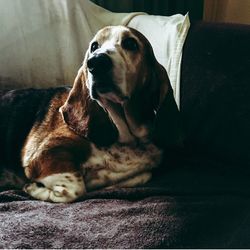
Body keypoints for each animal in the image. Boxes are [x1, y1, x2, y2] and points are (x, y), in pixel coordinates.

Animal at [0, 25, 182, 202]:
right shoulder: (44, 154)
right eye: (94, 46)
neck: (128, 141)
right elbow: (75, 189)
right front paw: (33, 188)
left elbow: (142, 176)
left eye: (131, 43)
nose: (95, 62)